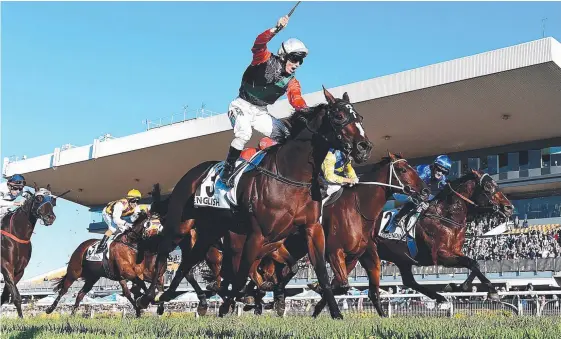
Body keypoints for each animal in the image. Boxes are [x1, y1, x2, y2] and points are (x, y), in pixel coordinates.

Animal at [1, 189, 57, 318]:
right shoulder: (6, 265)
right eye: (38, 198)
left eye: (53, 200)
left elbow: (5, 295)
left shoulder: (19, 270)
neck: (17, 233)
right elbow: (16, 296)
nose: (50, 217)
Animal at [137, 88, 372, 322]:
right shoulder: (258, 234)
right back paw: (148, 297)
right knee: (163, 253)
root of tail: (190, 174)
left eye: (360, 117)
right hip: (180, 225)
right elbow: (242, 275)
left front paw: (334, 312)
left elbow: (320, 272)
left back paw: (171, 295)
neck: (290, 175)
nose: (364, 147)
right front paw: (234, 303)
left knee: (188, 262)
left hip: (209, 233)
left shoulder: (310, 228)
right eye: (339, 116)